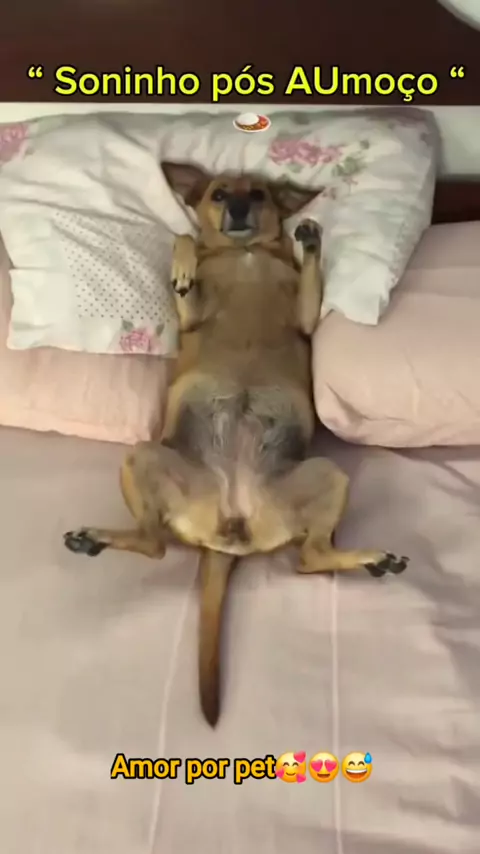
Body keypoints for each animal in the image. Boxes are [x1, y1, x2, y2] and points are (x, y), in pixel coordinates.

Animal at [64, 163, 409, 726]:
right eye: (219, 192)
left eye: (261, 193)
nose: (242, 208)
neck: (244, 253)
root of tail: (228, 528)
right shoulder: (188, 316)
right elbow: (183, 241)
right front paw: (184, 262)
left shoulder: (306, 317)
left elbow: (308, 287)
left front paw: (310, 240)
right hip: (143, 456)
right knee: (158, 543)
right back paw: (95, 537)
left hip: (327, 477)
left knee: (304, 558)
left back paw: (370, 558)